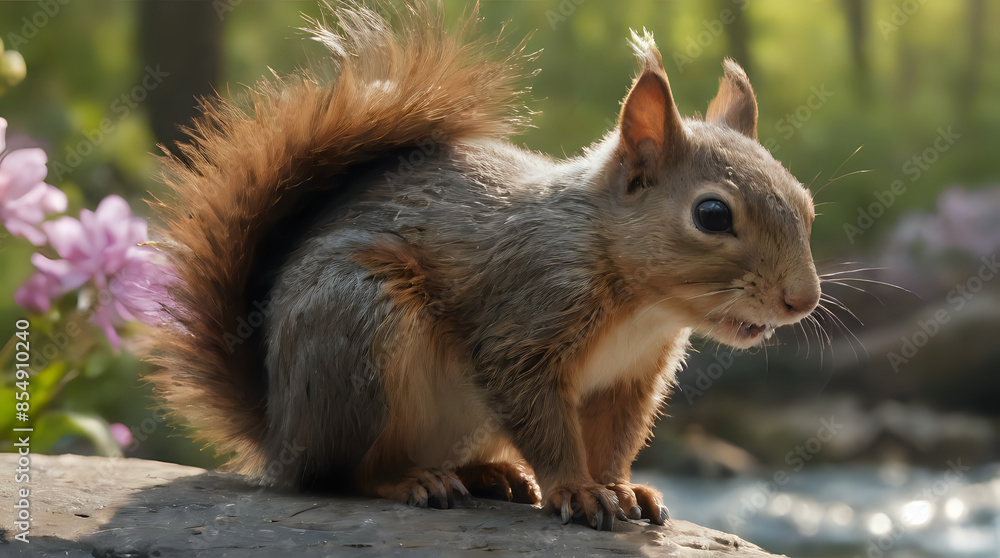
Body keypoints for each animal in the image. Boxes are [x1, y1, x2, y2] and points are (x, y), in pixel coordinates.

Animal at [145, 1, 821, 531]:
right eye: (712, 214)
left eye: (806, 203)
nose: (802, 300)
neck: (641, 301)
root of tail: (279, 432)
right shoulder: (525, 319)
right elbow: (540, 415)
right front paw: (577, 490)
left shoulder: (632, 377)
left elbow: (616, 437)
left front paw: (620, 486)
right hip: (358, 334)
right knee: (343, 472)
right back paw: (410, 481)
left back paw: (493, 475)